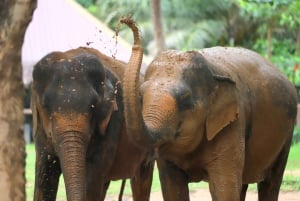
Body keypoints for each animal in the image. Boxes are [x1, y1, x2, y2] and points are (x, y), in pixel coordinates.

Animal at [30, 18, 154, 200]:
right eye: (45, 106)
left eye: (93, 106)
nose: (126, 21)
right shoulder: (40, 130)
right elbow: (45, 177)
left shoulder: (111, 125)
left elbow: (91, 181)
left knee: (141, 180)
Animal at [122, 35, 298, 200]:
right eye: (140, 97)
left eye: (185, 99)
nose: (136, 41)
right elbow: (173, 189)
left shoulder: (232, 123)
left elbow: (224, 189)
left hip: (287, 135)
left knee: (271, 182)